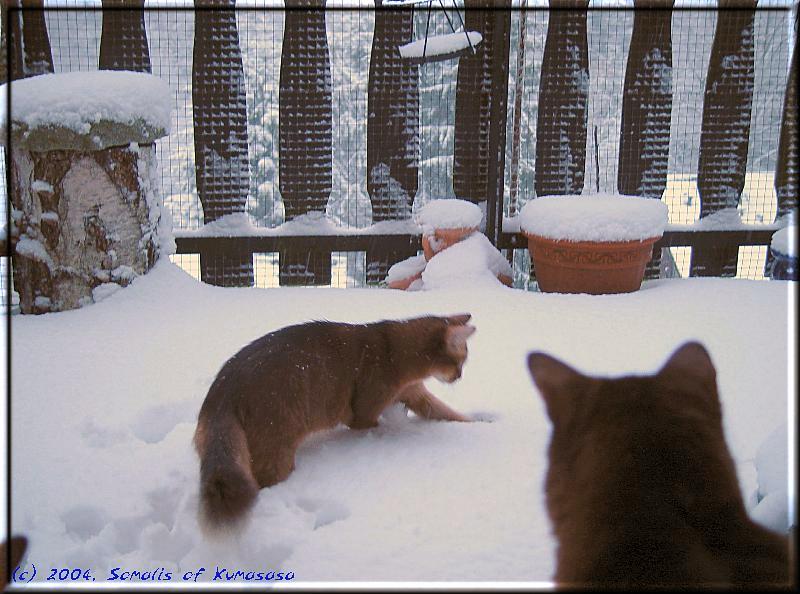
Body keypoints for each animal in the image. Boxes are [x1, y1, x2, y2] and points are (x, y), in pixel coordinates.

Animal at [194, 312, 476, 528]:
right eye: (460, 361)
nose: (460, 376)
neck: (392, 349)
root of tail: (222, 392)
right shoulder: (363, 414)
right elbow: (379, 425)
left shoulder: (415, 394)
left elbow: (447, 412)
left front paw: (478, 423)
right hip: (277, 449)